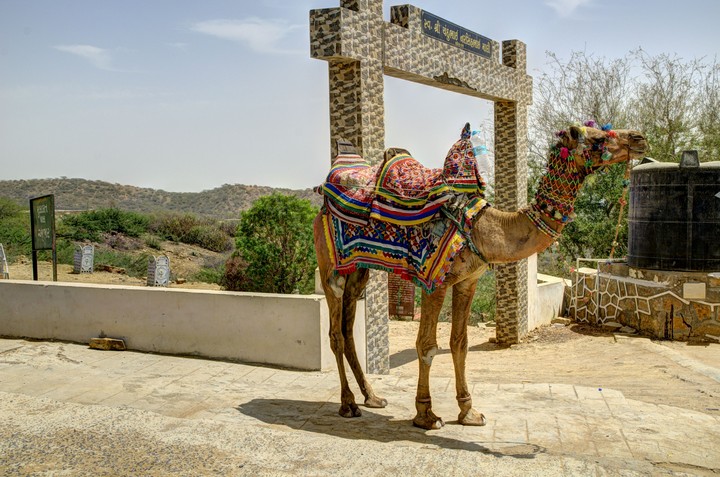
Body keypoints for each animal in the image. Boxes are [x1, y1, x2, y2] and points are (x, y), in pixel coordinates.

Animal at [313, 123, 648, 430]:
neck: (483, 227)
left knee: (347, 328)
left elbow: (459, 343)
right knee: (335, 332)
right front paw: (426, 415)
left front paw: (469, 412)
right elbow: (427, 345)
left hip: (359, 269)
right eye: (598, 138)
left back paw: (372, 397)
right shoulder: (434, 282)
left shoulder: (467, 281)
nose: (639, 138)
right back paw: (348, 404)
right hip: (330, 267)